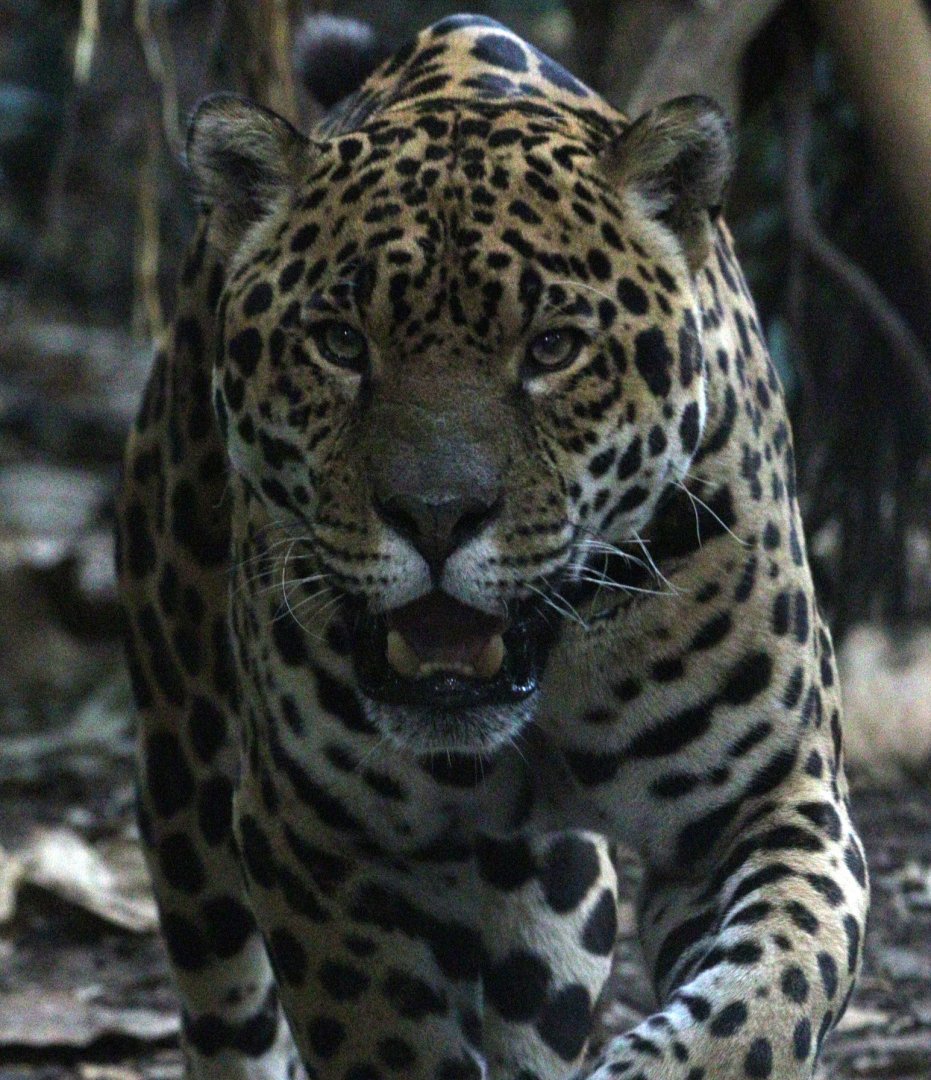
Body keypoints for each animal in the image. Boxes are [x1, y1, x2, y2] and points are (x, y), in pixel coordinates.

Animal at [115, 14, 869, 1080]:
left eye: (552, 348)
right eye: (339, 343)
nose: (435, 514)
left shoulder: (772, 803)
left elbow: (763, 998)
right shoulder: (314, 841)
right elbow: (379, 1035)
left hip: (559, 902)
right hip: (183, 764)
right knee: (225, 1005)